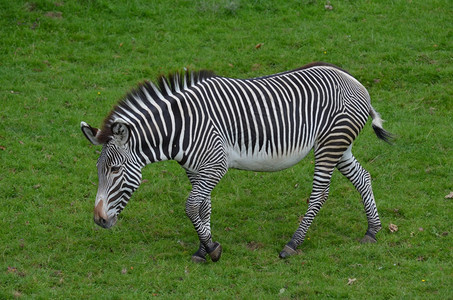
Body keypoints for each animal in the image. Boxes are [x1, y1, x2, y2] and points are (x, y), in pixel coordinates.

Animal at [81, 61, 392, 262]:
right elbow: (202, 207)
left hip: (330, 144)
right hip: (339, 145)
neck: (180, 128)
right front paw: (202, 249)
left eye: (115, 170)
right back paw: (372, 231)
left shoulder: (215, 165)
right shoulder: (196, 169)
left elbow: (190, 205)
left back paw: (292, 244)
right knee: (363, 177)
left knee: (320, 193)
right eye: (98, 171)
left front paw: (212, 249)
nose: (99, 220)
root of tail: (354, 80)